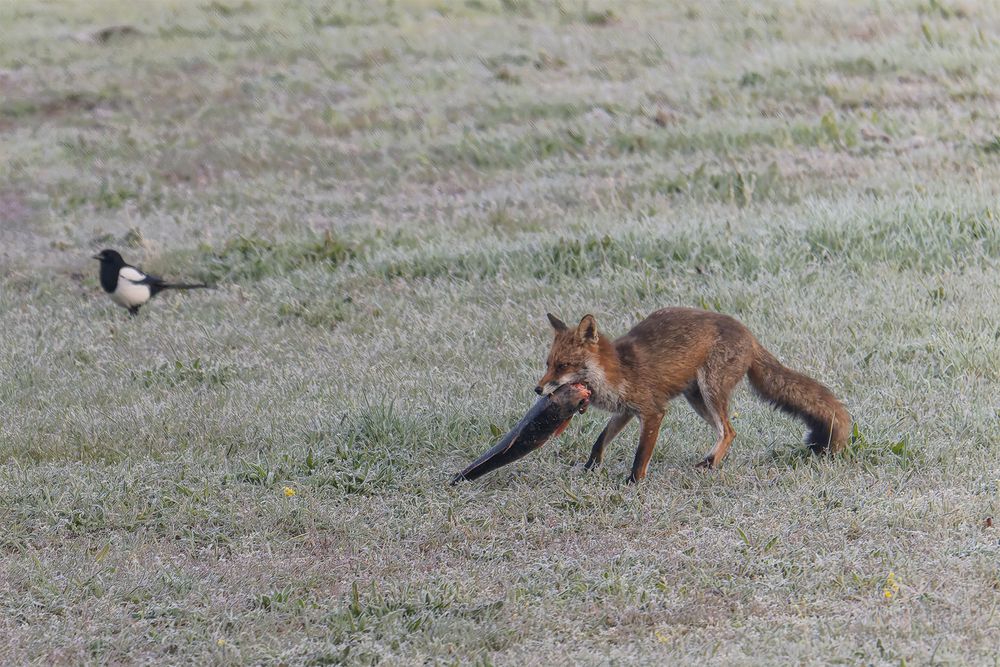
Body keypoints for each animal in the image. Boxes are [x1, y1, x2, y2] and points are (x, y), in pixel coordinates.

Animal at [536, 310, 856, 482]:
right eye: (548, 364)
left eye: (563, 366)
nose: (538, 390)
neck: (617, 370)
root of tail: (748, 334)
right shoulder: (625, 410)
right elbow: (600, 441)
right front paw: (590, 468)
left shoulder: (653, 411)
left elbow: (641, 456)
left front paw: (632, 484)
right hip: (697, 398)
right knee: (728, 431)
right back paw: (710, 460)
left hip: (710, 391)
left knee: (729, 430)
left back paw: (712, 464)